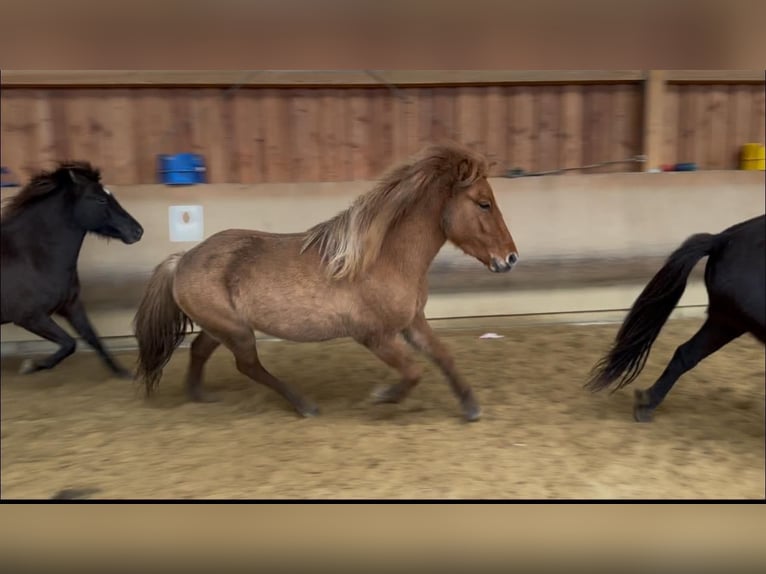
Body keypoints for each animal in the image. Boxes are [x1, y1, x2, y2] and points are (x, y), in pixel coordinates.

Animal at [1, 161, 144, 378]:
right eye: (101, 199)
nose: (138, 231)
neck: (33, 257)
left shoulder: (71, 306)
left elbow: (93, 339)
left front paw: (122, 372)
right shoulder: (30, 317)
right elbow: (69, 343)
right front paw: (32, 365)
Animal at [133, 142, 519, 422]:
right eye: (484, 204)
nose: (511, 258)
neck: (383, 258)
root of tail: (182, 259)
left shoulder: (413, 323)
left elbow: (444, 357)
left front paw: (471, 407)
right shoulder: (375, 336)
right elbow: (413, 371)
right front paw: (383, 397)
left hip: (222, 328)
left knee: (200, 350)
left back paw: (199, 395)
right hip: (236, 331)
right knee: (248, 365)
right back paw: (304, 405)